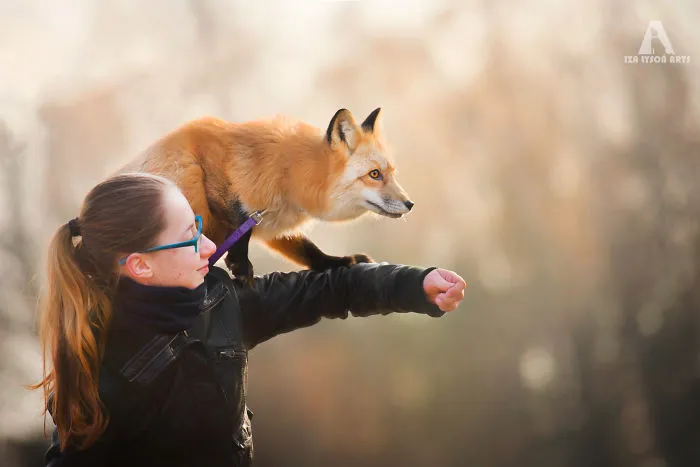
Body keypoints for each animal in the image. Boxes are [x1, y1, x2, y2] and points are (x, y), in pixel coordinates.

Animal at [117, 107, 414, 282]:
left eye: (391, 173)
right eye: (374, 174)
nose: (410, 204)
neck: (288, 175)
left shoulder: (276, 220)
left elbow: (307, 249)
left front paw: (335, 262)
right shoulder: (209, 164)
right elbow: (240, 223)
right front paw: (239, 264)